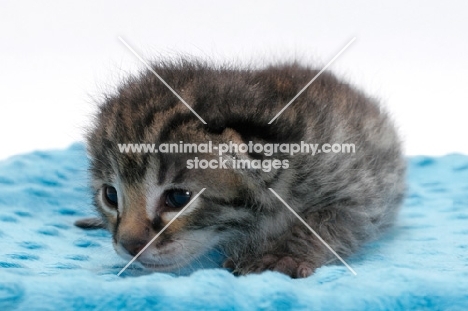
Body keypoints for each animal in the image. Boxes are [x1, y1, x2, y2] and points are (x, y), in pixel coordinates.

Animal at [77, 58, 406, 278]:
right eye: (110, 196)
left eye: (178, 199)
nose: (128, 245)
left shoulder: (360, 192)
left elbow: (326, 221)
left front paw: (281, 254)